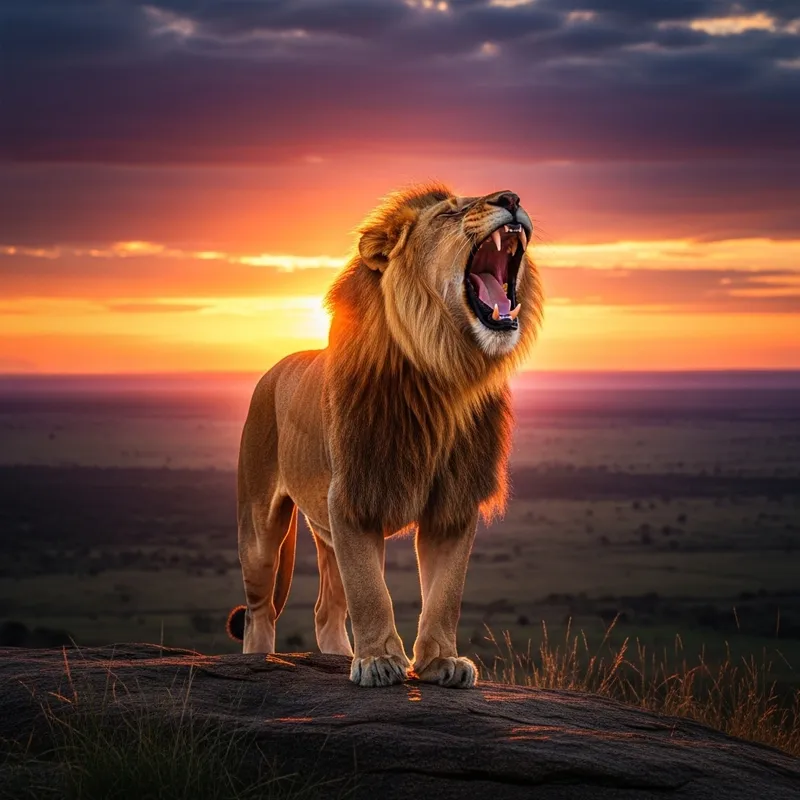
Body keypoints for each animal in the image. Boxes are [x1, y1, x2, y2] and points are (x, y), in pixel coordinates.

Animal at [227, 183, 542, 688]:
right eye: (450, 213)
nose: (511, 197)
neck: (444, 374)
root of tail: (278, 365)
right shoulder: (352, 496)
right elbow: (370, 590)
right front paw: (377, 661)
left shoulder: (454, 503)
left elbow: (445, 593)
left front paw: (440, 663)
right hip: (259, 524)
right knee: (260, 610)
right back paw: (258, 662)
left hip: (324, 530)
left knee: (326, 610)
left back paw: (338, 656)